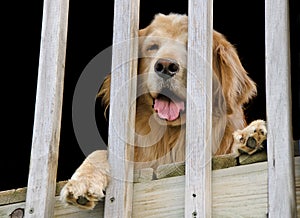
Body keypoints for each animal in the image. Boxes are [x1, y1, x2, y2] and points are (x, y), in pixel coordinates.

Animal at [60, 12, 264, 209]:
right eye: (153, 47)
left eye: (191, 47)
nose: (165, 66)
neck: (170, 137)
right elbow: (99, 153)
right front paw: (83, 181)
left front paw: (249, 135)